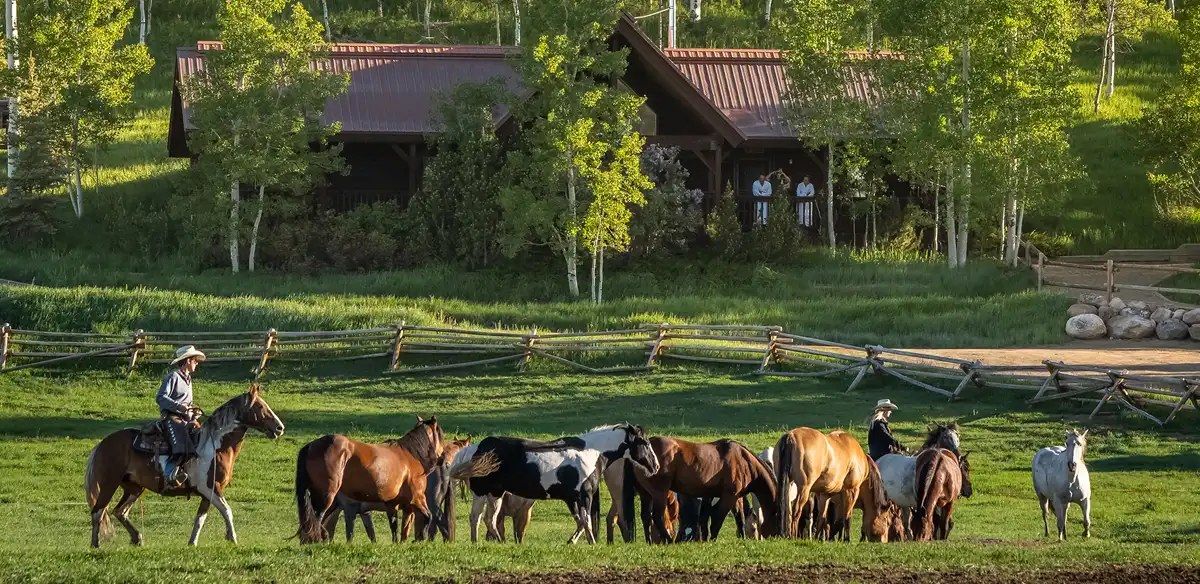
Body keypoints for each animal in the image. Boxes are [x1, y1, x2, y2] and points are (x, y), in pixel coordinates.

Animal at [84, 384, 285, 548]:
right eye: (260, 407)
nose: (279, 428)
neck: (214, 446)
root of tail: (103, 443)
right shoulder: (211, 488)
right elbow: (227, 511)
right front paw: (232, 538)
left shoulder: (207, 493)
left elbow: (200, 518)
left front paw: (192, 542)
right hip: (109, 483)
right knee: (98, 512)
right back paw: (95, 545)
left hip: (134, 487)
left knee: (120, 511)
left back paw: (137, 538)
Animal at [294, 416, 444, 544]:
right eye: (441, 435)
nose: (442, 458)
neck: (411, 456)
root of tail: (311, 446)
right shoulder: (417, 498)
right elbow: (428, 516)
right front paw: (421, 538)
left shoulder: (392, 504)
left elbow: (394, 527)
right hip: (326, 497)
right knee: (317, 518)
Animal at [451, 424, 659, 544]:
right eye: (643, 442)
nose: (655, 466)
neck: (591, 453)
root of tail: (475, 449)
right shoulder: (584, 495)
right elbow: (587, 520)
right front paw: (592, 543)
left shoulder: (571, 498)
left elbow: (580, 521)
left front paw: (572, 542)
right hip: (485, 492)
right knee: (482, 518)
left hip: (492, 493)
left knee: (482, 518)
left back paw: (480, 543)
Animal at [634, 437, 779, 542]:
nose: (779, 536)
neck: (744, 460)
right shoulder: (729, 496)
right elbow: (717, 520)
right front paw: (712, 539)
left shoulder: (726, 496)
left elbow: (735, 518)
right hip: (659, 493)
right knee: (657, 516)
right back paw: (669, 540)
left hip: (646, 494)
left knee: (646, 517)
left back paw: (649, 541)